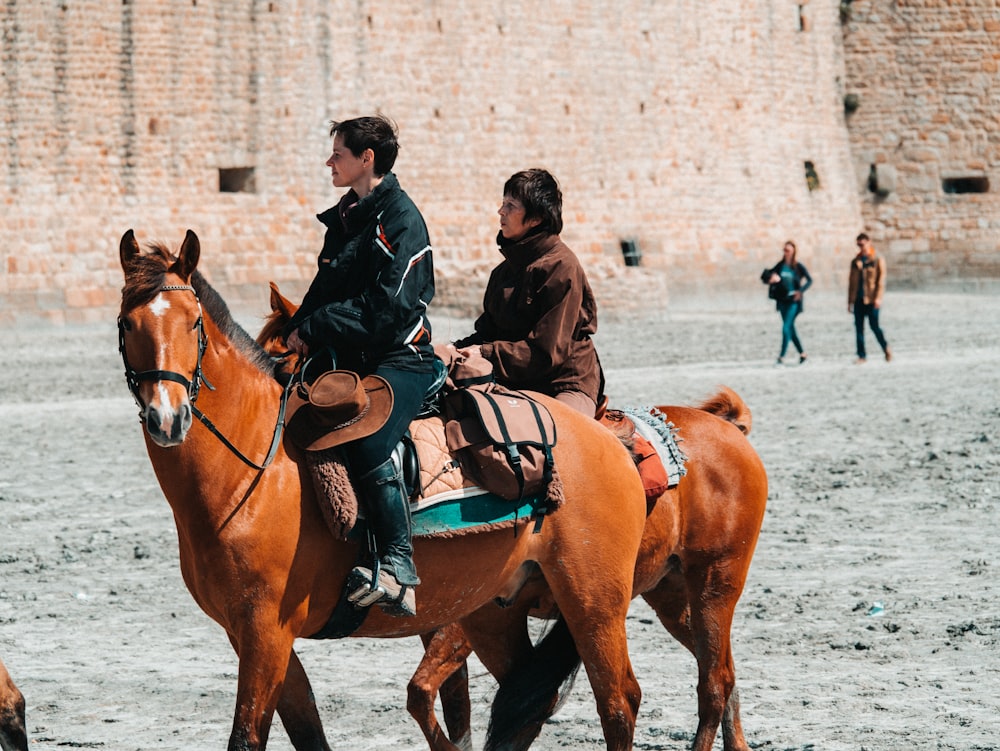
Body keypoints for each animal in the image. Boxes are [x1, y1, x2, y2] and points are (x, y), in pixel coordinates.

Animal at [117, 231, 648, 751]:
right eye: (126, 324)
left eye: (193, 324)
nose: (168, 418)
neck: (251, 477)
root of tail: (606, 439)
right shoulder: (251, 636)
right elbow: (308, 732)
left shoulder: (266, 631)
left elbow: (246, 737)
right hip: (493, 610)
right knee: (525, 706)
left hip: (593, 603)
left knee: (619, 702)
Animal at [258, 284, 764, 751]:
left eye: (289, 363)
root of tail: (728, 430)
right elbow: (449, 703)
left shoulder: (462, 621)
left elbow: (424, 692)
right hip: (672, 595)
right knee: (724, 672)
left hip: (711, 584)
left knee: (712, 683)